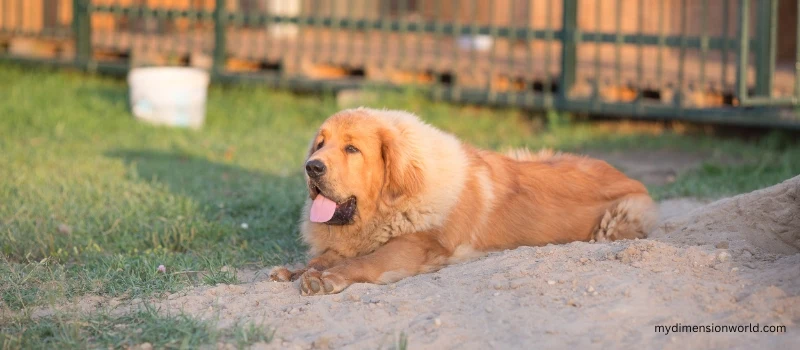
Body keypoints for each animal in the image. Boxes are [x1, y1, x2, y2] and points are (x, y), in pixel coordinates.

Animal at [268, 108, 656, 294]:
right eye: (320, 144)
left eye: (351, 149)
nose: (312, 166)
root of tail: (631, 177)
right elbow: (324, 257)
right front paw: (298, 269)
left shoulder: (415, 246)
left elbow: (365, 261)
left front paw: (328, 277)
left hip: (613, 222)